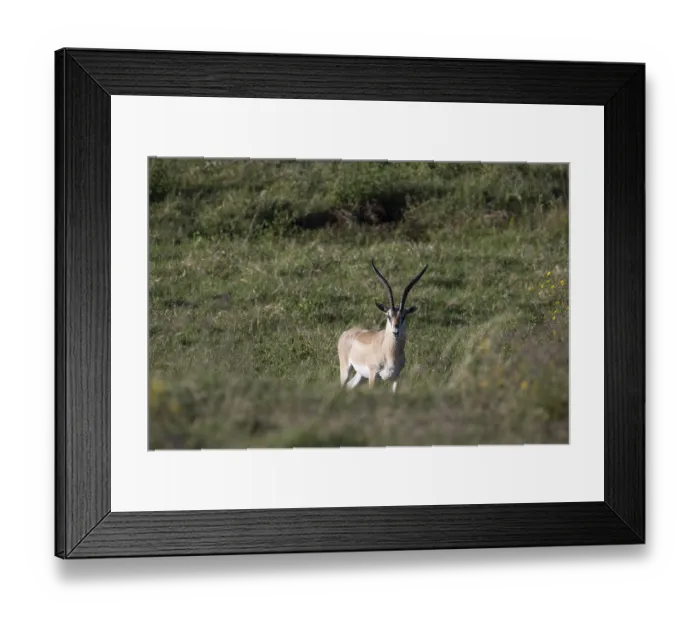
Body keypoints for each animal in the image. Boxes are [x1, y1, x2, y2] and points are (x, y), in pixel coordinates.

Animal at [338, 260, 428, 393]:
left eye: (404, 316)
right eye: (388, 315)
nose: (395, 331)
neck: (389, 351)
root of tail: (346, 333)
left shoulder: (396, 377)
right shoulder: (373, 375)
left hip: (360, 376)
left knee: (350, 386)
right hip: (346, 369)